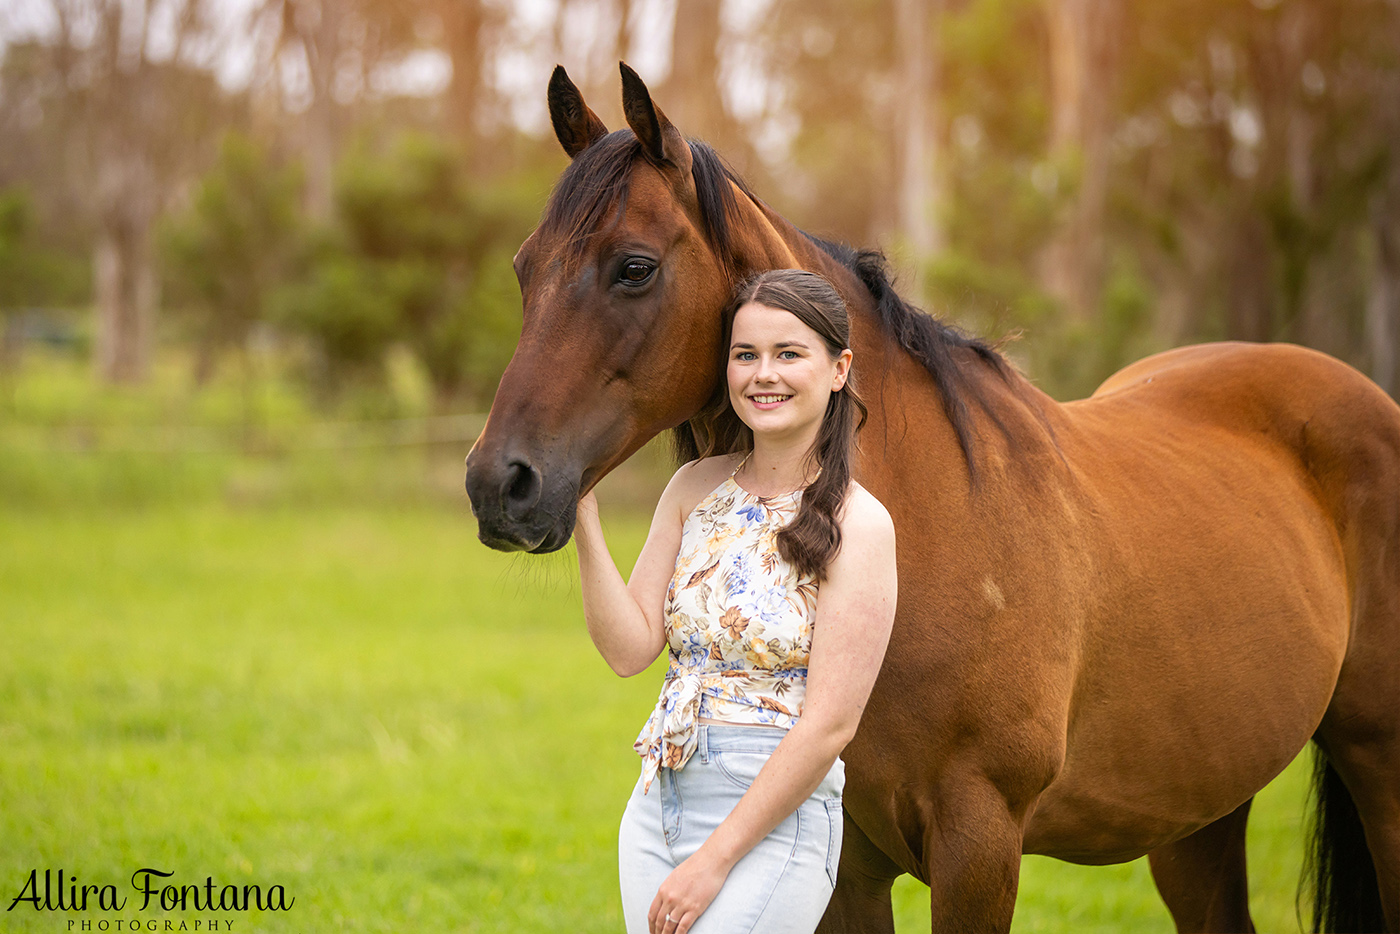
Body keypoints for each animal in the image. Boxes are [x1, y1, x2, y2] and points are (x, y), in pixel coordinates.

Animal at [462, 61, 1400, 929]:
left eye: (634, 267)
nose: (498, 484)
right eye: (524, 270)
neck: (920, 528)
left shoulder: (978, 841)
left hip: (1375, 767)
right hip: (1198, 809)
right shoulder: (846, 863)